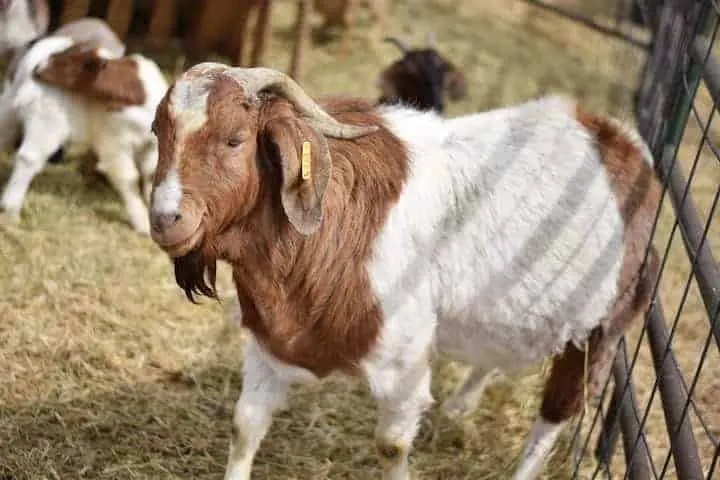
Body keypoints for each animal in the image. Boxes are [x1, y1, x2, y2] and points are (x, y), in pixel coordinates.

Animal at [0, 35, 168, 234]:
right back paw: (11, 210)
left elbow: (151, 174)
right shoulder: (113, 141)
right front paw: (142, 223)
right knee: (28, 158)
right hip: (47, 121)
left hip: (10, 107)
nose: (38, 69)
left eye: (68, 62)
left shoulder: (153, 144)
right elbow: (129, 178)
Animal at [147, 64, 661, 480]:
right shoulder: (270, 342)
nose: (165, 218)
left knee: (555, 416)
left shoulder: (403, 362)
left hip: (599, 331)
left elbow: (391, 446)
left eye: (234, 139)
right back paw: (460, 404)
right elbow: (245, 424)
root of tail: (626, 144)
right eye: (157, 132)